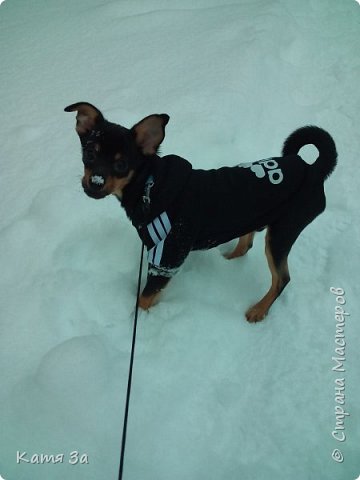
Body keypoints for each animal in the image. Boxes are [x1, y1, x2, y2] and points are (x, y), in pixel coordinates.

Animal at [64, 102, 338, 322]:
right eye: (89, 153)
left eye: (121, 164)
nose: (95, 183)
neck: (149, 185)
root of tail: (312, 169)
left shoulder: (167, 258)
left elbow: (144, 298)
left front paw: (135, 320)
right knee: (247, 244)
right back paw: (229, 258)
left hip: (282, 233)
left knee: (282, 279)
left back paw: (259, 310)